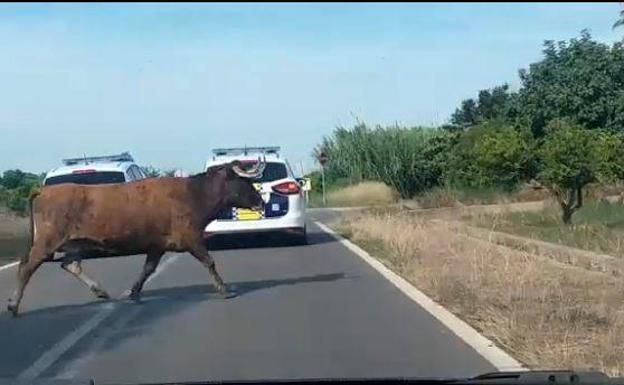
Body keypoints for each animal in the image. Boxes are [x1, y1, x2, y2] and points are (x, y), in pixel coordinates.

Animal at [7, 159, 266, 316]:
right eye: (243, 180)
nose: (260, 201)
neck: (194, 193)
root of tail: (44, 190)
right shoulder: (191, 238)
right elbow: (209, 261)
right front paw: (224, 289)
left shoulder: (157, 245)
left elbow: (148, 269)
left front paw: (134, 292)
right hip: (47, 241)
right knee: (27, 267)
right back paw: (13, 305)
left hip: (74, 244)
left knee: (70, 264)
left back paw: (100, 291)